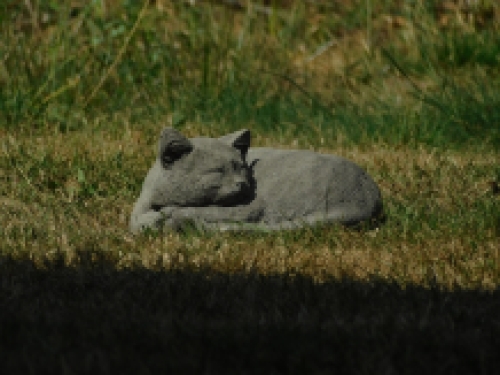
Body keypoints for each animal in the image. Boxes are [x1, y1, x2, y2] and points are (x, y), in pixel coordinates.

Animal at [129, 128, 382, 234]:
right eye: (217, 171)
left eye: (241, 167)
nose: (242, 184)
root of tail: (370, 198)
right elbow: (134, 221)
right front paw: (151, 220)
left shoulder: (250, 207)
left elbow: (196, 211)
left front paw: (168, 216)